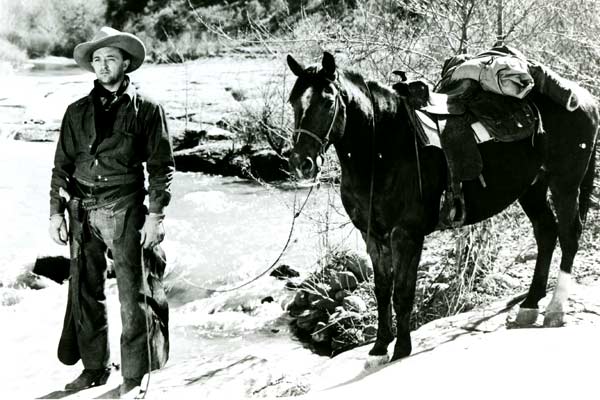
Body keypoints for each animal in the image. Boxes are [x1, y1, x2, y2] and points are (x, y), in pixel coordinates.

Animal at [288, 51, 600, 360]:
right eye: (293, 102)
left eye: (328, 101)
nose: (302, 162)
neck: (384, 149)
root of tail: (586, 99)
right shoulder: (373, 235)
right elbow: (382, 289)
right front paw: (379, 346)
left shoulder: (406, 234)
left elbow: (403, 292)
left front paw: (401, 349)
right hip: (532, 188)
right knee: (546, 233)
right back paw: (530, 304)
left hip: (565, 185)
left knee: (569, 236)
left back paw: (555, 310)